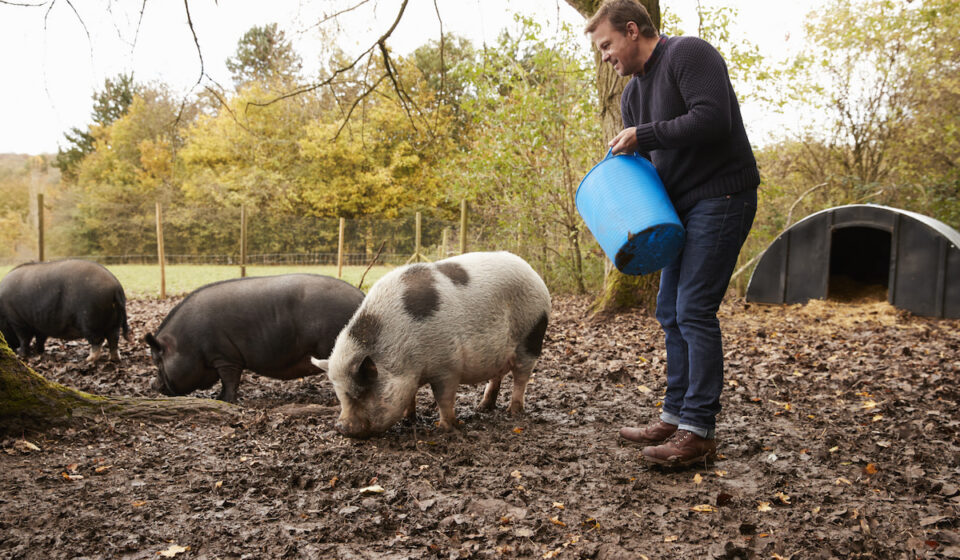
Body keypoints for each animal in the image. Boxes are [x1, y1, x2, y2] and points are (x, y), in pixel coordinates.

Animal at [0, 259, 130, 363]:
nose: (11, 349)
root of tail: (116, 287)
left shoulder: (17, 321)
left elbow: (24, 338)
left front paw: (21, 355)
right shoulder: (40, 325)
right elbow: (40, 338)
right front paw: (39, 352)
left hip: (90, 320)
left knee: (98, 340)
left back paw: (88, 360)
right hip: (114, 321)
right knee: (114, 339)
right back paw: (114, 359)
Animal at [144, 274, 364, 402]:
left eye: (157, 361)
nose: (152, 385)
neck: (187, 343)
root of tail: (361, 295)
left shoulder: (225, 357)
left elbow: (230, 380)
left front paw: (223, 400)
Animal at [311, 251, 551, 438]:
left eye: (361, 392)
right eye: (339, 394)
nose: (341, 427)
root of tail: (533, 273)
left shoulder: (448, 366)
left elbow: (443, 398)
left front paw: (447, 428)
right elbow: (411, 397)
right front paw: (409, 419)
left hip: (532, 335)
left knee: (521, 376)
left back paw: (513, 412)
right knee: (497, 375)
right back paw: (483, 407)